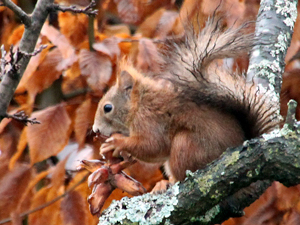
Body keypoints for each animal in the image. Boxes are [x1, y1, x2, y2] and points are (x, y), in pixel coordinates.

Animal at [92, 17, 278, 183]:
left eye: (107, 108)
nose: (95, 130)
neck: (139, 104)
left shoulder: (150, 120)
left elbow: (153, 145)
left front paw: (116, 143)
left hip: (186, 145)